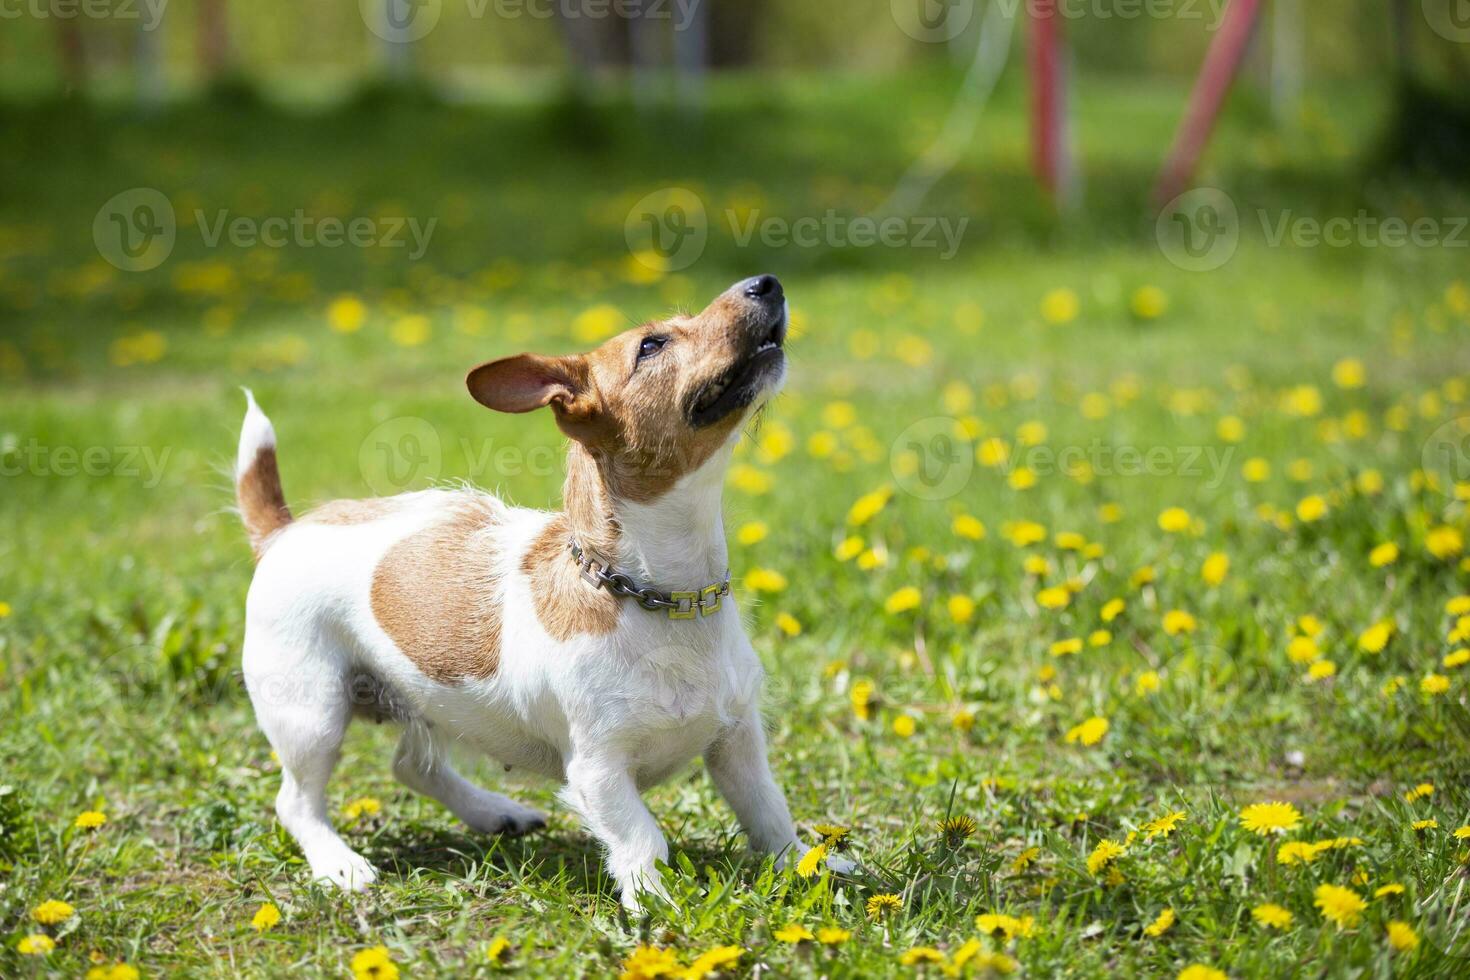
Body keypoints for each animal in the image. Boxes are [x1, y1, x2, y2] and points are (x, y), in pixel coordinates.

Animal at [236, 271, 858, 910]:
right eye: (652, 345)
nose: (765, 282)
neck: (660, 597)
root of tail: (284, 529)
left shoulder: (738, 744)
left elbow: (769, 813)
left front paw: (808, 864)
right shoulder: (598, 771)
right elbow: (641, 837)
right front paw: (654, 901)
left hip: (427, 702)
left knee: (414, 767)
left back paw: (494, 812)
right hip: (311, 712)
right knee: (298, 801)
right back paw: (340, 863)